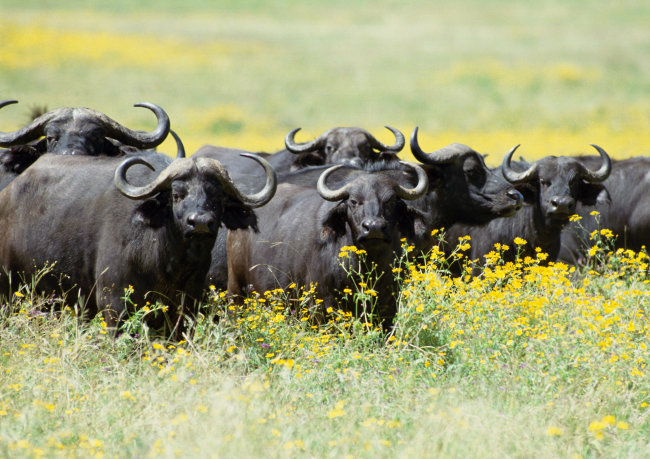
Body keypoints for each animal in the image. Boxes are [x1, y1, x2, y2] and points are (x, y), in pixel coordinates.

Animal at [0, 146, 274, 328]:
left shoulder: (187, 306)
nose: (200, 222)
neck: (168, 262)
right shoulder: (114, 304)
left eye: (216, 197)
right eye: (177, 194)